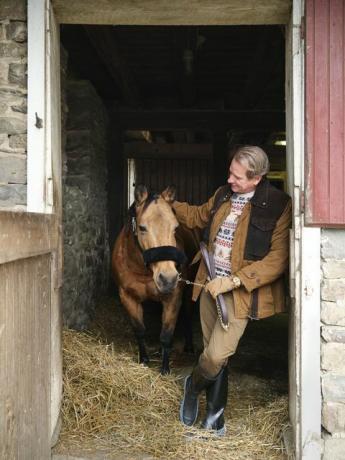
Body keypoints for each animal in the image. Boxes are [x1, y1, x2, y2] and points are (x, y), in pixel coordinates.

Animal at [112, 183, 195, 374]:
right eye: (142, 228)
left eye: (175, 228)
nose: (168, 278)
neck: (142, 270)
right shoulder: (127, 297)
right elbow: (139, 330)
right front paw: (144, 359)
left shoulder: (173, 298)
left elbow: (166, 335)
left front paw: (165, 368)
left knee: (188, 315)